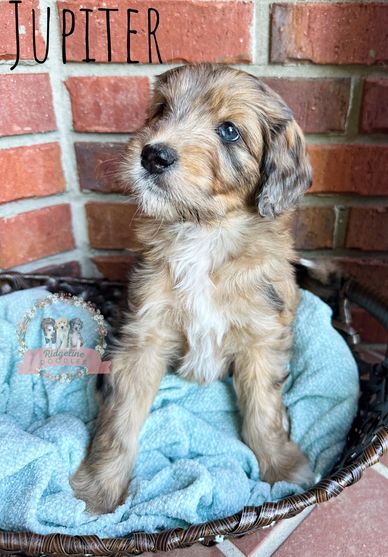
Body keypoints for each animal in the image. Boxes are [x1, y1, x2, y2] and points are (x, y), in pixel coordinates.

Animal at [73, 64, 314, 512]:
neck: (204, 232)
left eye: (230, 131)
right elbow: (119, 420)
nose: (153, 155)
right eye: (161, 110)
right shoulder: (142, 336)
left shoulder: (261, 338)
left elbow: (264, 411)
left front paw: (282, 466)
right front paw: (98, 491)